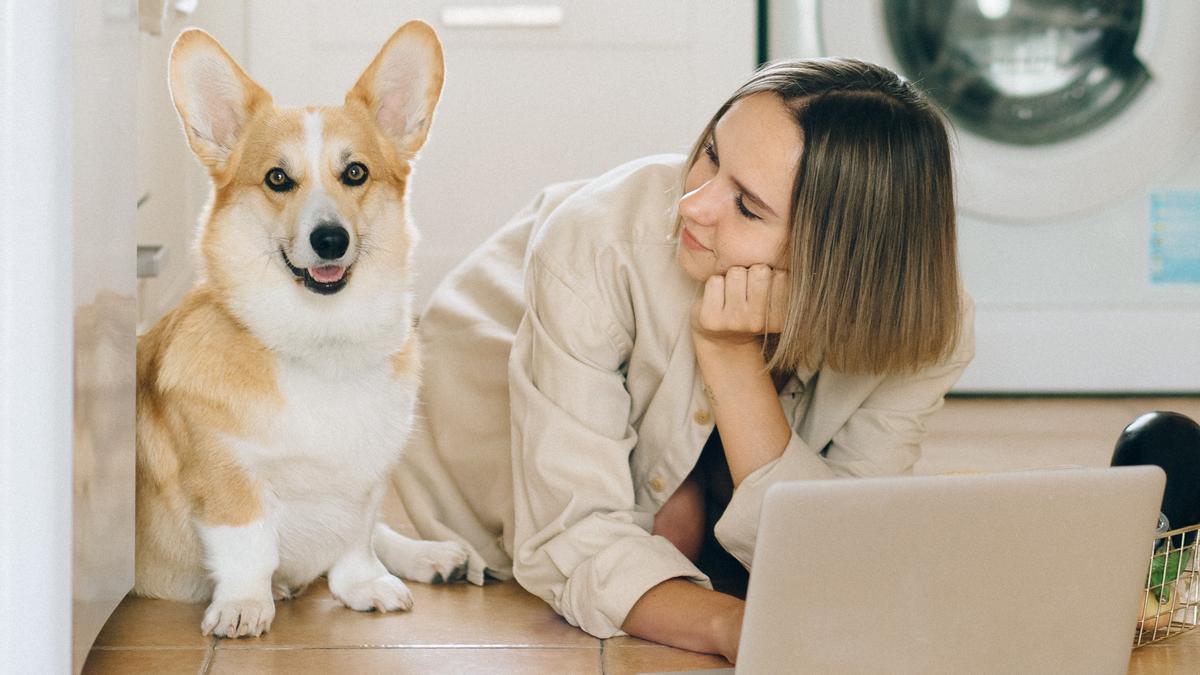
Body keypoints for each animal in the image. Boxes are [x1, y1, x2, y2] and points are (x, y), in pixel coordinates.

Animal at [133, 23, 465, 634]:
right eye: (277, 179)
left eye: (355, 173)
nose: (330, 240)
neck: (321, 343)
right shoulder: (226, 475)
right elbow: (248, 544)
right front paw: (244, 605)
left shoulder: (367, 476)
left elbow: (359, 536)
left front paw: (364, 584)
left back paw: (431, 556)